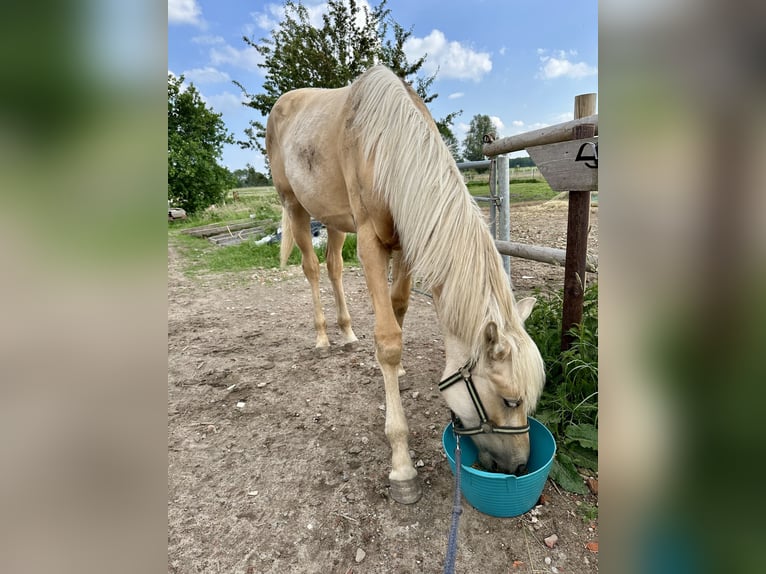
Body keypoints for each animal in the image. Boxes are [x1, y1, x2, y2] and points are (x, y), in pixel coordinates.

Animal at [268, 66, 548, 504]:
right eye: (509, 400)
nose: (519, 467)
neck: (386, 144)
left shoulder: (407, 244)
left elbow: (398, 308)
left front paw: (395, 374)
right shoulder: (371, 242)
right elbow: (388, 339)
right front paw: (401, 466)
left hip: (333, 219)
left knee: (333, 267)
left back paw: (347, 332)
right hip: (295, 206)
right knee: (311, 269)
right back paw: (323, 337)